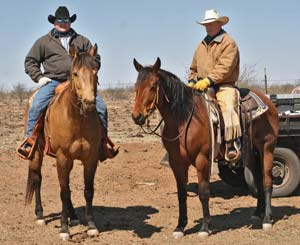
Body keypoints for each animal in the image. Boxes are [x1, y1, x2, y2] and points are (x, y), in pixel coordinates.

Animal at [24, 44, 103, 241]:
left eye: (95, 71)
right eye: (75, 73)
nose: (89, 102)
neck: (78, 119)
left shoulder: (90, 158)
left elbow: (88, 190)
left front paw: (91, 225)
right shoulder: (62, 157)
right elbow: (63, 191)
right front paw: (64, 229)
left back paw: (73, 215)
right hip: (36, 153)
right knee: (37, 178)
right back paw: (40, 215)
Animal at [131, 57, 278, 237]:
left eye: (153, 86)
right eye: (136, 86)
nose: (137, 116)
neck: (184, 119)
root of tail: (268, 102)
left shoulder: (202, 159)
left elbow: (203, 192)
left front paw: (205, 227)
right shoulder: (177, 162)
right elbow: (181, 194)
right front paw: (180, 227)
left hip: (267, 148)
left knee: (267, 181)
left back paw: (267, 219)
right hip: (250, 154)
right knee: (257, 178)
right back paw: (258, 213)